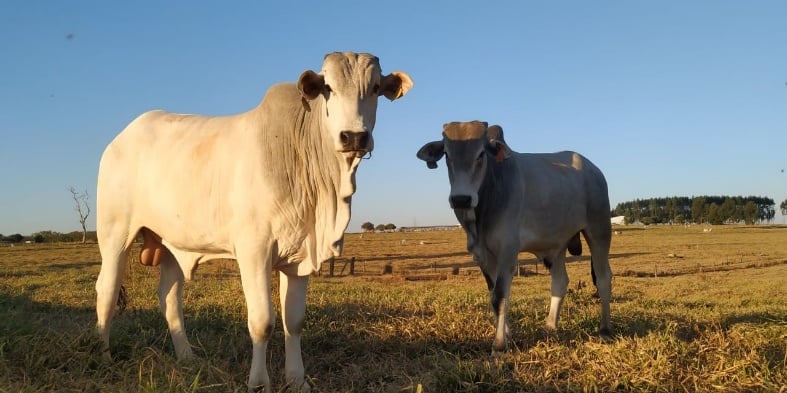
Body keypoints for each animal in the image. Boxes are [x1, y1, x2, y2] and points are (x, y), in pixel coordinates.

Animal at [96, 52, 416, 392]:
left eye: (375, 88)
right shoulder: (254, 251)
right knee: (107, 291)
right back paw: (103, 356)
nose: (354, 136)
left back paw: (187, 357)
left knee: (169, 297)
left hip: (171, 243)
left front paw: (297, 380)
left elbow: (294, 322)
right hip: (115, 235)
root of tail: (119, 139)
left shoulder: (300, 256)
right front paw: (259, 383)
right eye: (328, 87)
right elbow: (262, 322)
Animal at [418, 120, 616, 352]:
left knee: (603, 278)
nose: (461, 199)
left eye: (481, 154)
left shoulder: (508, 250)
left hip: (599, 230)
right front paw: (506, 334)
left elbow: (500, 296)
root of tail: (594, 170)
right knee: (560, 282)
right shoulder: (482, 256)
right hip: (556, 245)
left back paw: (604, 330)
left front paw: (499, 345)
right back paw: (550, 327)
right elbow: (494, 294)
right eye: (447, 155)